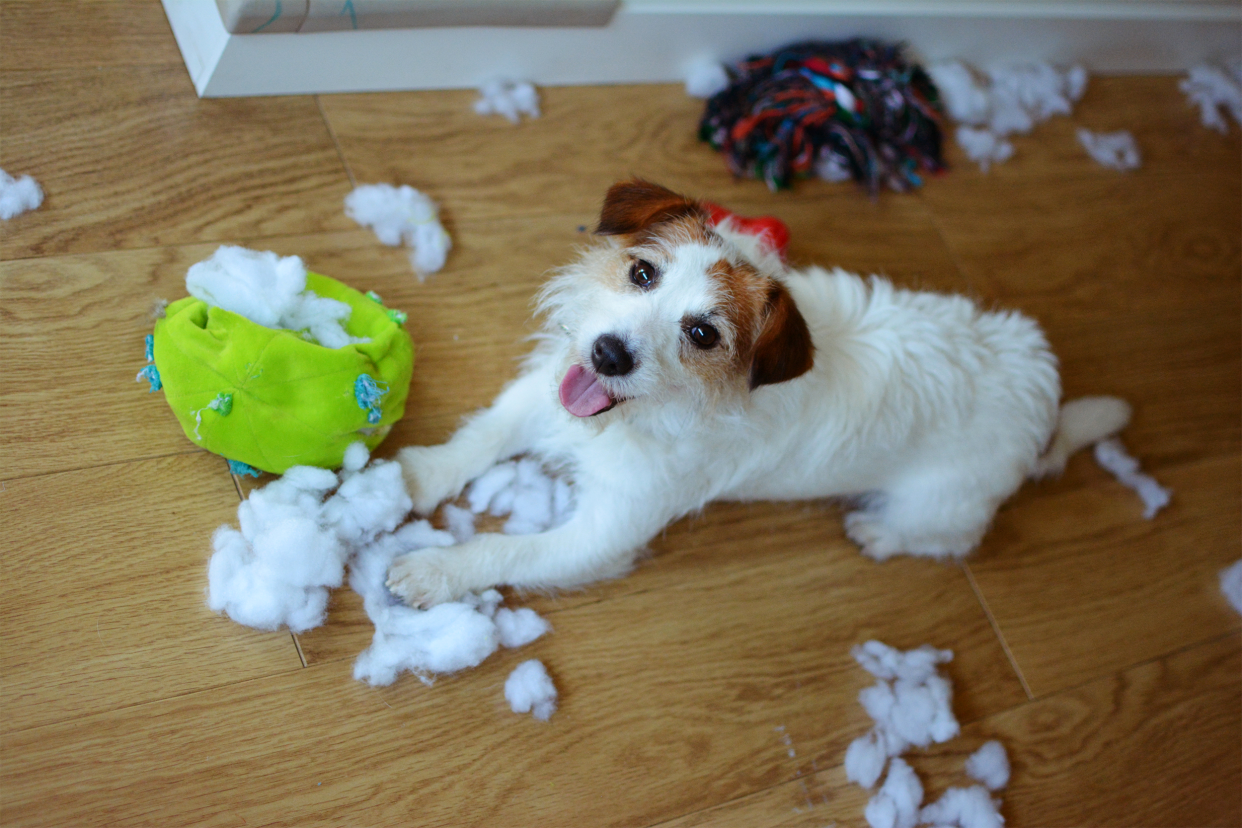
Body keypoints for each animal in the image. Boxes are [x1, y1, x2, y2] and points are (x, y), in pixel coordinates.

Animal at [389, 181, 1137, 608]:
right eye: (642, 272)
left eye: (703, 333)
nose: (607, 354)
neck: (643, 415)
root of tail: (1044, 394)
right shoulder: (546, 394)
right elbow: (484, 434)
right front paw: (417, 475)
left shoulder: (606, 531)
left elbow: (505, 551)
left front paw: (431, 572)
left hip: (943, 502)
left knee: (945, 539)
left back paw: (879, 532)